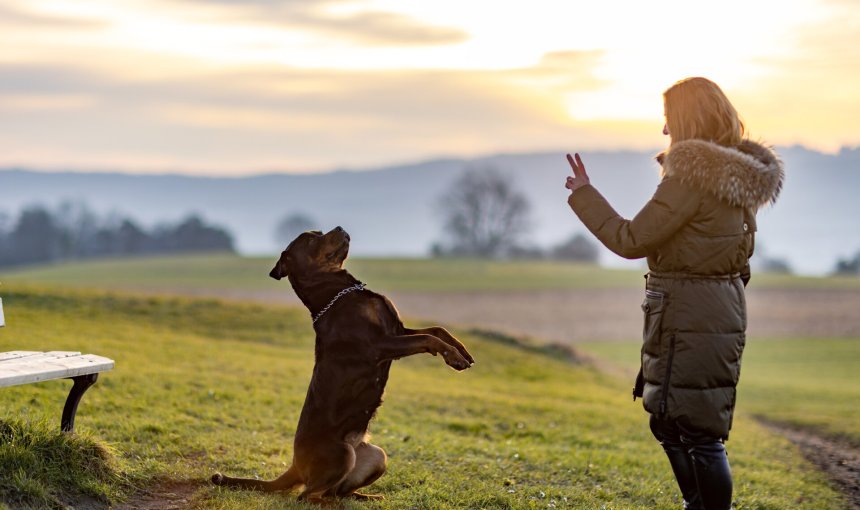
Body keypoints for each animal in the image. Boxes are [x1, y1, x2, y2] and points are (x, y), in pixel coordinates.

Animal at [212, 226, 474, 502]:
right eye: (310, 239)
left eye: (318, 231)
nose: (339, 228)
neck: (340, 291)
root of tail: (295, 466)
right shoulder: (379, 345)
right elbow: (427, 338)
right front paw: (454, 357)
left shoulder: (397, 330)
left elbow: (437, 329)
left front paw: (461, 352)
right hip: (342, 454)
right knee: (307, 496)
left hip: (376, 455)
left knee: (337, 492)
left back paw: (367, 497)